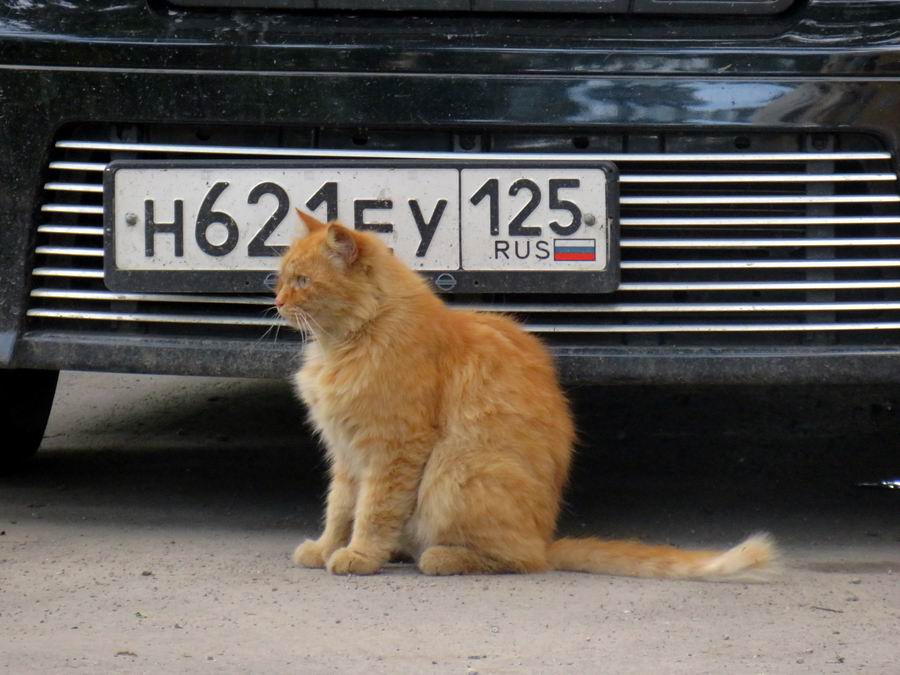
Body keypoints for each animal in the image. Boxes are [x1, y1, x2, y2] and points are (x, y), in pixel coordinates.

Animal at [278, 211, 776, 580]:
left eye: (301, 281)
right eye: (280, 278)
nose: (279, 301)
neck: (350, 339)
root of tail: (547, 538)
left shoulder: (392, 450)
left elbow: (373, 511)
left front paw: (359, 555)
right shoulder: (346, 454)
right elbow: (339, 507)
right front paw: (326, 546)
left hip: (454, 472)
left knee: (520, 560)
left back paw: (438, 556)